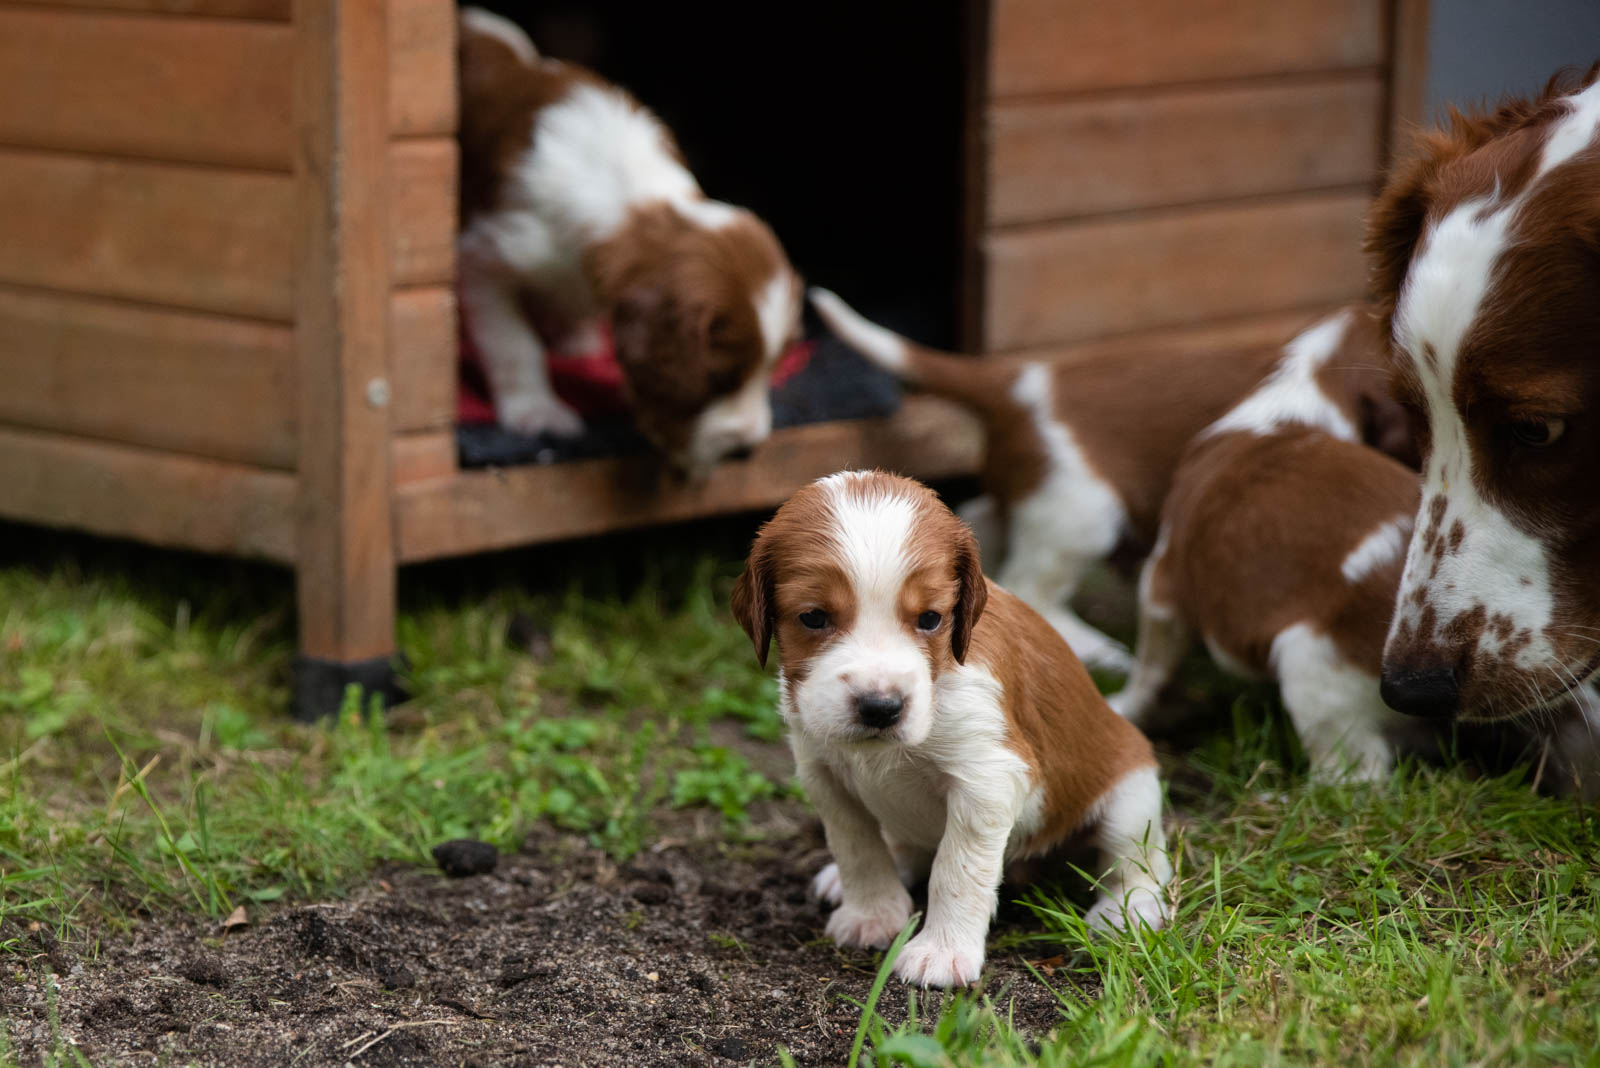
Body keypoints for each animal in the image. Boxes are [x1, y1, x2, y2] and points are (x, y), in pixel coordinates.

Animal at [454, 9, 800, 476]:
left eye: (772, 370)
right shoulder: (487, 258)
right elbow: (514, 343)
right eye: (718, 379)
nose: (747, 449)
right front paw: (536, 409)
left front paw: (577, 336)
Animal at [732, 470, 1171, 991]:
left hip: (1130, 797)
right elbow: (857, 847)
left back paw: (1126, 912)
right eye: (813, 617)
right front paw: (871, 916)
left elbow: (955, 870)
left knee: (1137, 863)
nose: (881, 708)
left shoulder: (986, 779)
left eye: (930, 618)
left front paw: (940, 954)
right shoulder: (823, 772)